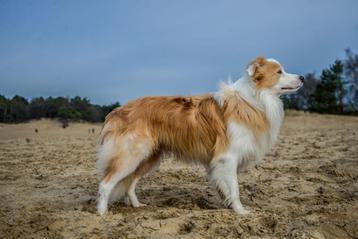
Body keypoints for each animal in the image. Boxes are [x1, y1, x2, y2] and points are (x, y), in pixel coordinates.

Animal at [96, 56, 304, 215]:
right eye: (279, 72)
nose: (302, 76)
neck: (252, 99)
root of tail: (118, 110)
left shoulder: (219, 162)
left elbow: (225, 187)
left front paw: (228, 205)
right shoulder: (228, 157)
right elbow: (235, 188)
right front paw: (241, 211)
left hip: (147, 157)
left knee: (130, 183)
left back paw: (137, 205)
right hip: (131, 155)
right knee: (105, 184)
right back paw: (102, 213)